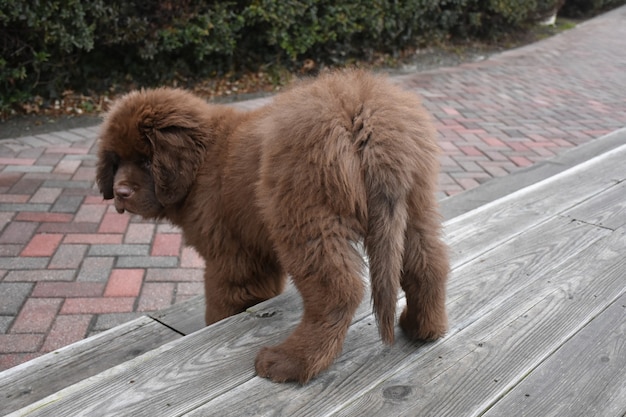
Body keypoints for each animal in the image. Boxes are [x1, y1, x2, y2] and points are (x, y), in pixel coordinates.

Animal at [96, 69, 448, 384]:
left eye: (146, 161)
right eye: (116, 160)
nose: (120, 193)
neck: (203, 161)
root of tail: (365, 115)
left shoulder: (230, 256)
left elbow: (222, 303)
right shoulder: (256, 254)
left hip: (304, 218)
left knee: (338, 291)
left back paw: (292, 363)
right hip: (416, 205)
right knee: (427, 264)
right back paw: (422, 327)